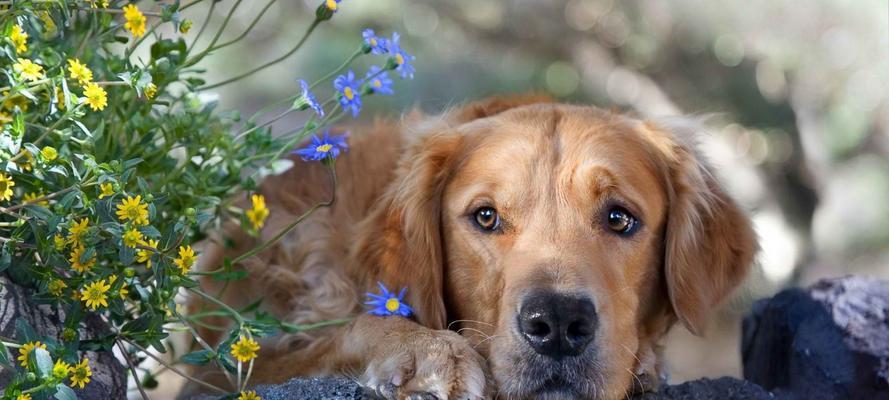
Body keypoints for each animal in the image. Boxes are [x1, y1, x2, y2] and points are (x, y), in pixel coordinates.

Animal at [187, 96, 756, 400]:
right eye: (486, 216)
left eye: (619, 218)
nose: (557, 324)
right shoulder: (218, 370)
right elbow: (348, 329)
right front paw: (424, 349)